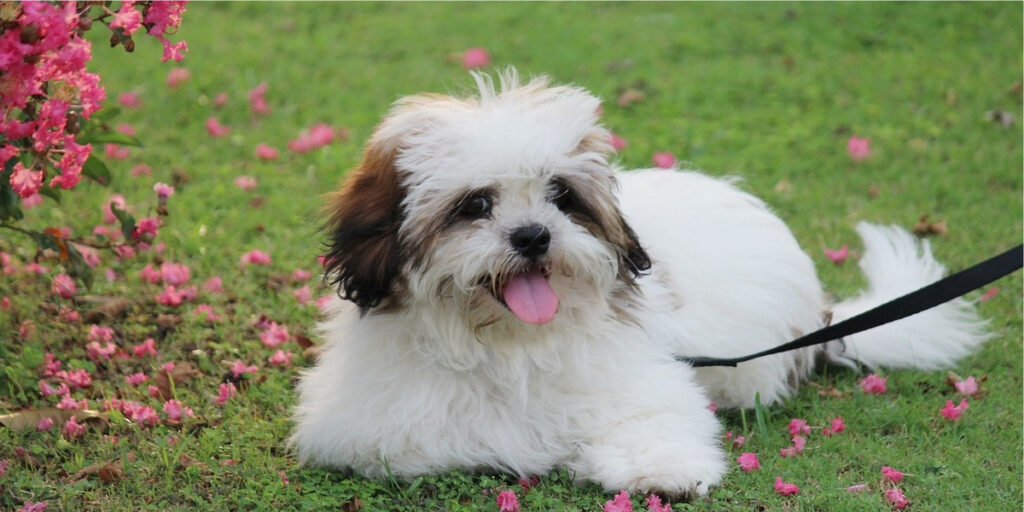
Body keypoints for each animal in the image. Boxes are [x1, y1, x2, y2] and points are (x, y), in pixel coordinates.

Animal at [290, 70, 991, 493]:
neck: (510, 343)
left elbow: (654, 421)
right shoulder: (377, 428)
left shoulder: (647, 382)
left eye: (561, 196)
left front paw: (660, 471)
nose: (533, 236)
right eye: (475, 205)